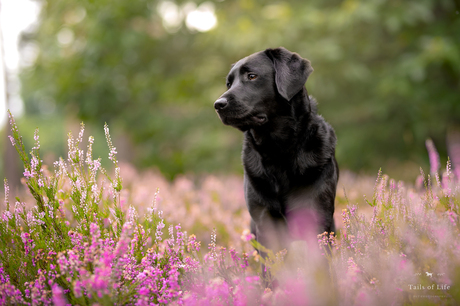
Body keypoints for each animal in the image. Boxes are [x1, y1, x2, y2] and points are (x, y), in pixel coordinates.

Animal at [215, 47, 338, 253]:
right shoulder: (264, 219)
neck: (278, 150)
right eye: (229, 83)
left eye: (252, 76)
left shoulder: (316, 216)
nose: (218, 104)